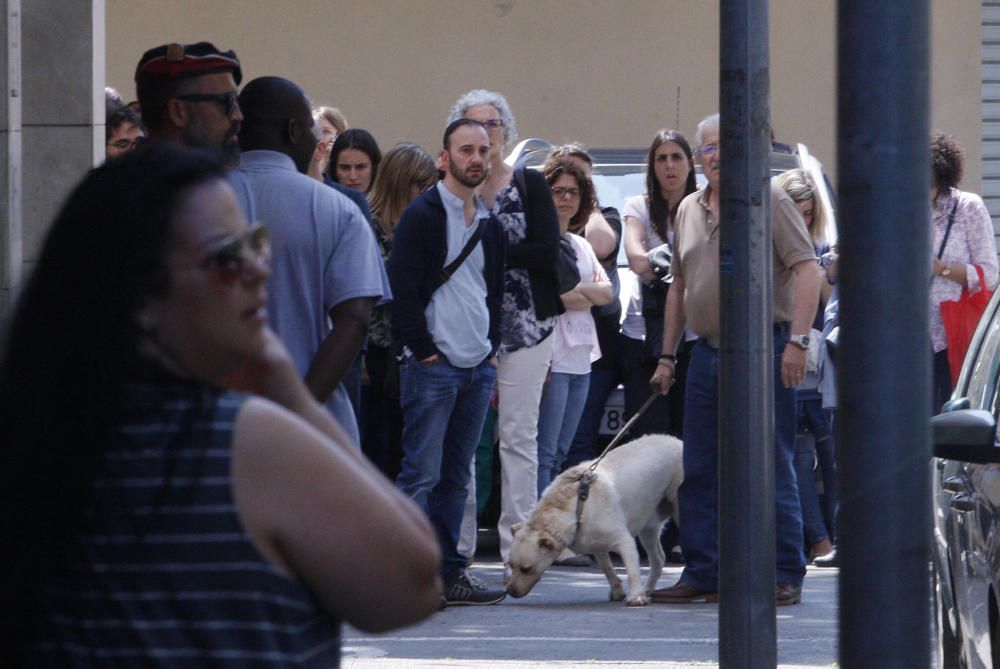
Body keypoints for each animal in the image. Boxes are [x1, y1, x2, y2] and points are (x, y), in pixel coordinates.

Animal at [508, 434, 680, 604]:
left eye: (526, 569)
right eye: (509, 565)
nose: (509, 591)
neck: (578, 508)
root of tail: (677, 441)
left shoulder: (624, 541)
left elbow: (632, 571)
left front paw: (636, 596)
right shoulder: (597, 545)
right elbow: (607, 568)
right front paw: (617, 591)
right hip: (648, 527)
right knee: (658, 558)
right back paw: (648, 590)